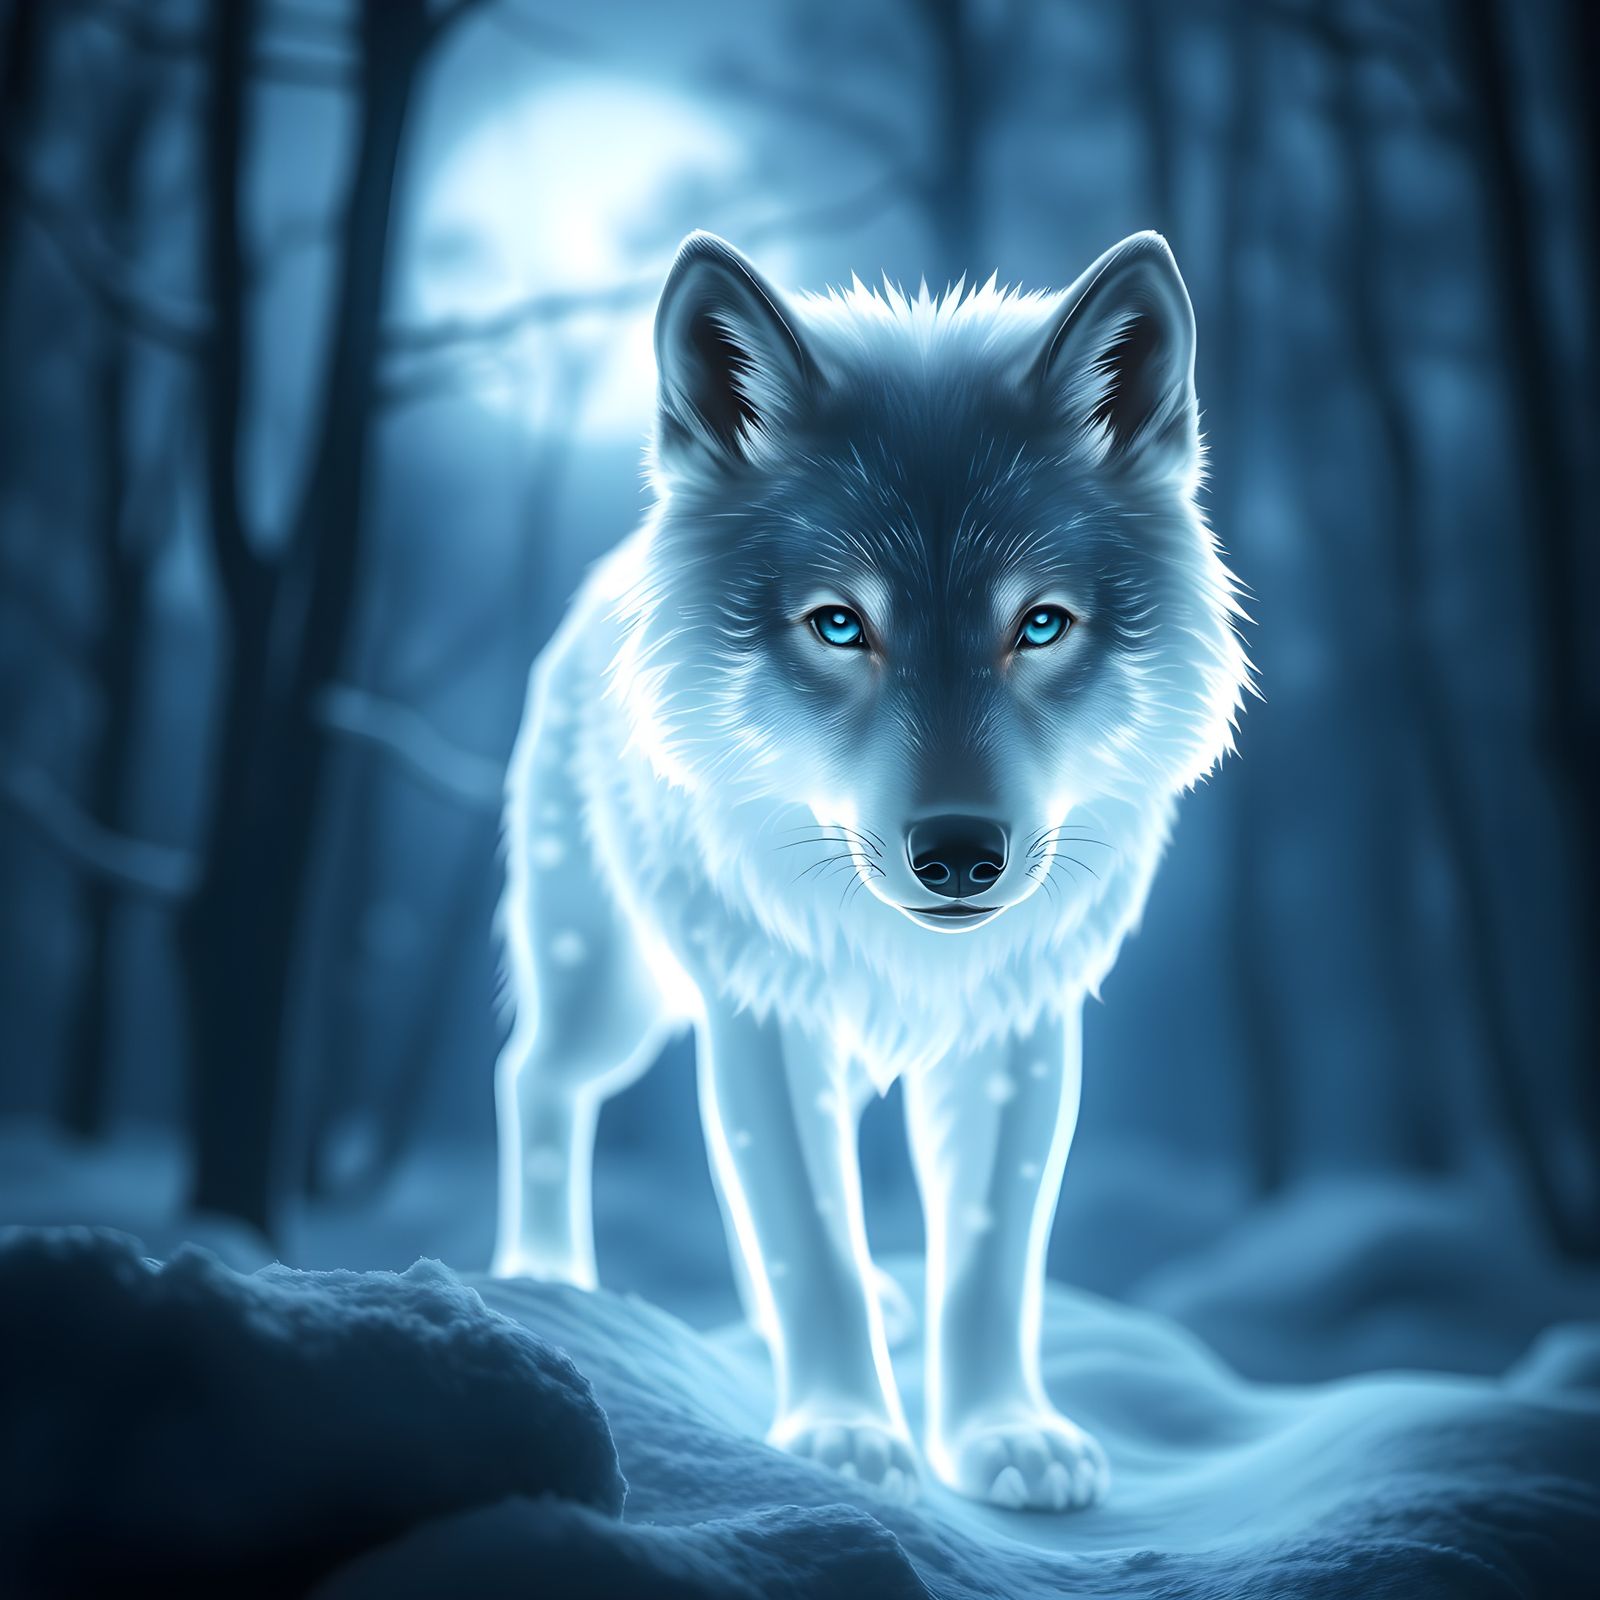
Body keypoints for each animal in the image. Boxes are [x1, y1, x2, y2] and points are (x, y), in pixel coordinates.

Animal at [492, 230, 1248, 1511]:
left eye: (1039, 625)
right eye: (840, 625)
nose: (959, 855)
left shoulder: (1017, 1027)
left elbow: (989, 1261)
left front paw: (1002, 1434)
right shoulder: (764, 1010)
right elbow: (810, 1239)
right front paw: (843, 1431)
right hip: (611, 985)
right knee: (534, 1079)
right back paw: (543, 1278)